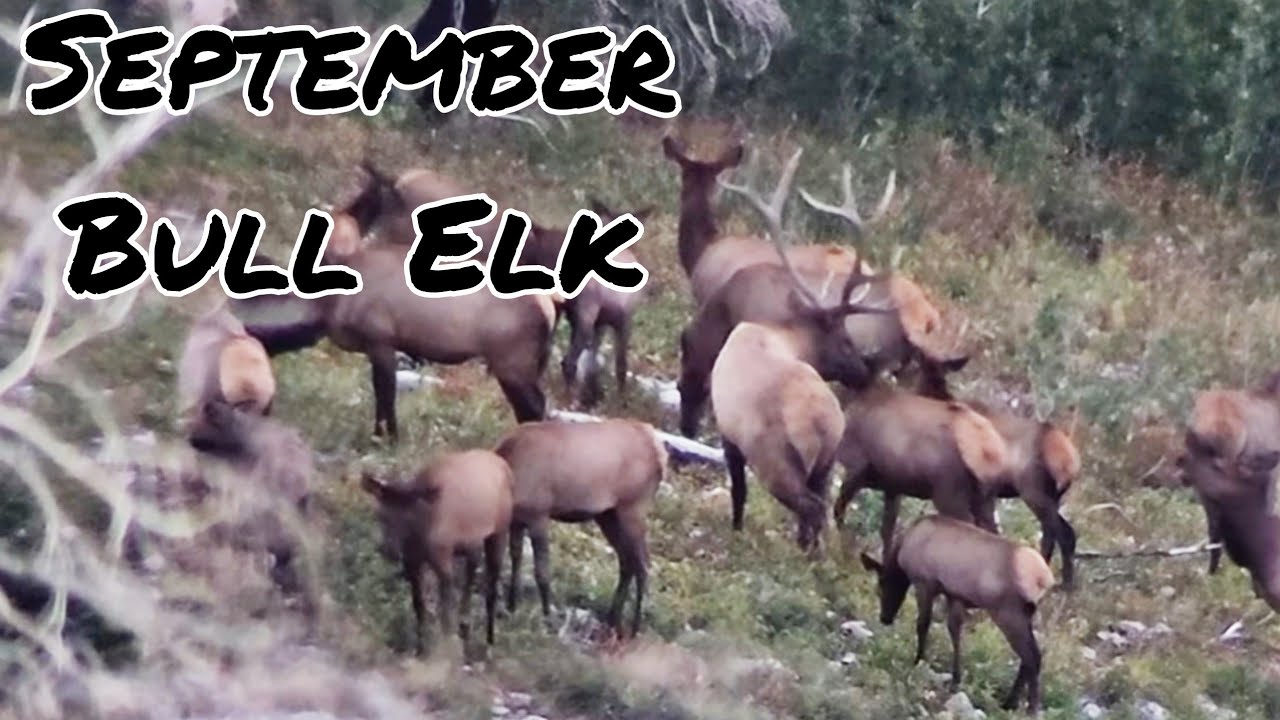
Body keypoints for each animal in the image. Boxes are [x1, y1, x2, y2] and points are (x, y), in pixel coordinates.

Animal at [361, 449, 513, 654]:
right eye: (381, 515)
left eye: (408, 518)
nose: (389, 549)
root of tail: (505, 466)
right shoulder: (411, 561)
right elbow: (419, 604)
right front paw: (421, 647)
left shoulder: (442, 557)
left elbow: (445, 611)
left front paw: (444, 647)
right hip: (472, 545)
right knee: (470, 578)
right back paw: (465, 629)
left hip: (499, 532)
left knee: (491, 588)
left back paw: (488, 641)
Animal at [494, 417, 668, 638]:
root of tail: (661, 452)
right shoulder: (516, 520)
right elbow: (515, 559)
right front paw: (511, 607)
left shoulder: (538, 515)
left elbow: (541, 571)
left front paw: (547, 618)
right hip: (608, 515)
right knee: (627, 561)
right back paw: (612, 621)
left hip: (633, 508)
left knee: (644, 565)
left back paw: (635, 630)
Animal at [861, 514, 1055, 714]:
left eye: (881, 586)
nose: (885, 618)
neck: (902, 549)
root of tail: (1044, 580)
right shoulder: (955, 596)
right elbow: (954, 632)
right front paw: (955, 679)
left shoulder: (925, 583)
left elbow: (923, 624)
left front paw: (918, 660)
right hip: (1029, 615)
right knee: (1030, 656)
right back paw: (1010, 703)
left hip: (1008, 613)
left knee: (1032, 656)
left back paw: (1029, 707)